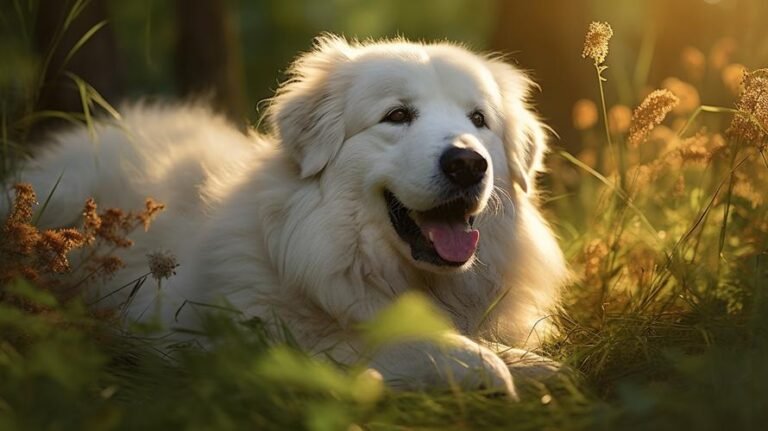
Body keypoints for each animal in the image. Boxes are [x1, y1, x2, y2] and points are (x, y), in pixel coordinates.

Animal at [4, 37, 568, 398]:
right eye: (398, 116)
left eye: (479, 120)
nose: (468, 163)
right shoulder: (235, 339)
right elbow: (383, 344)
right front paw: (484, 364)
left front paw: (528, 363)